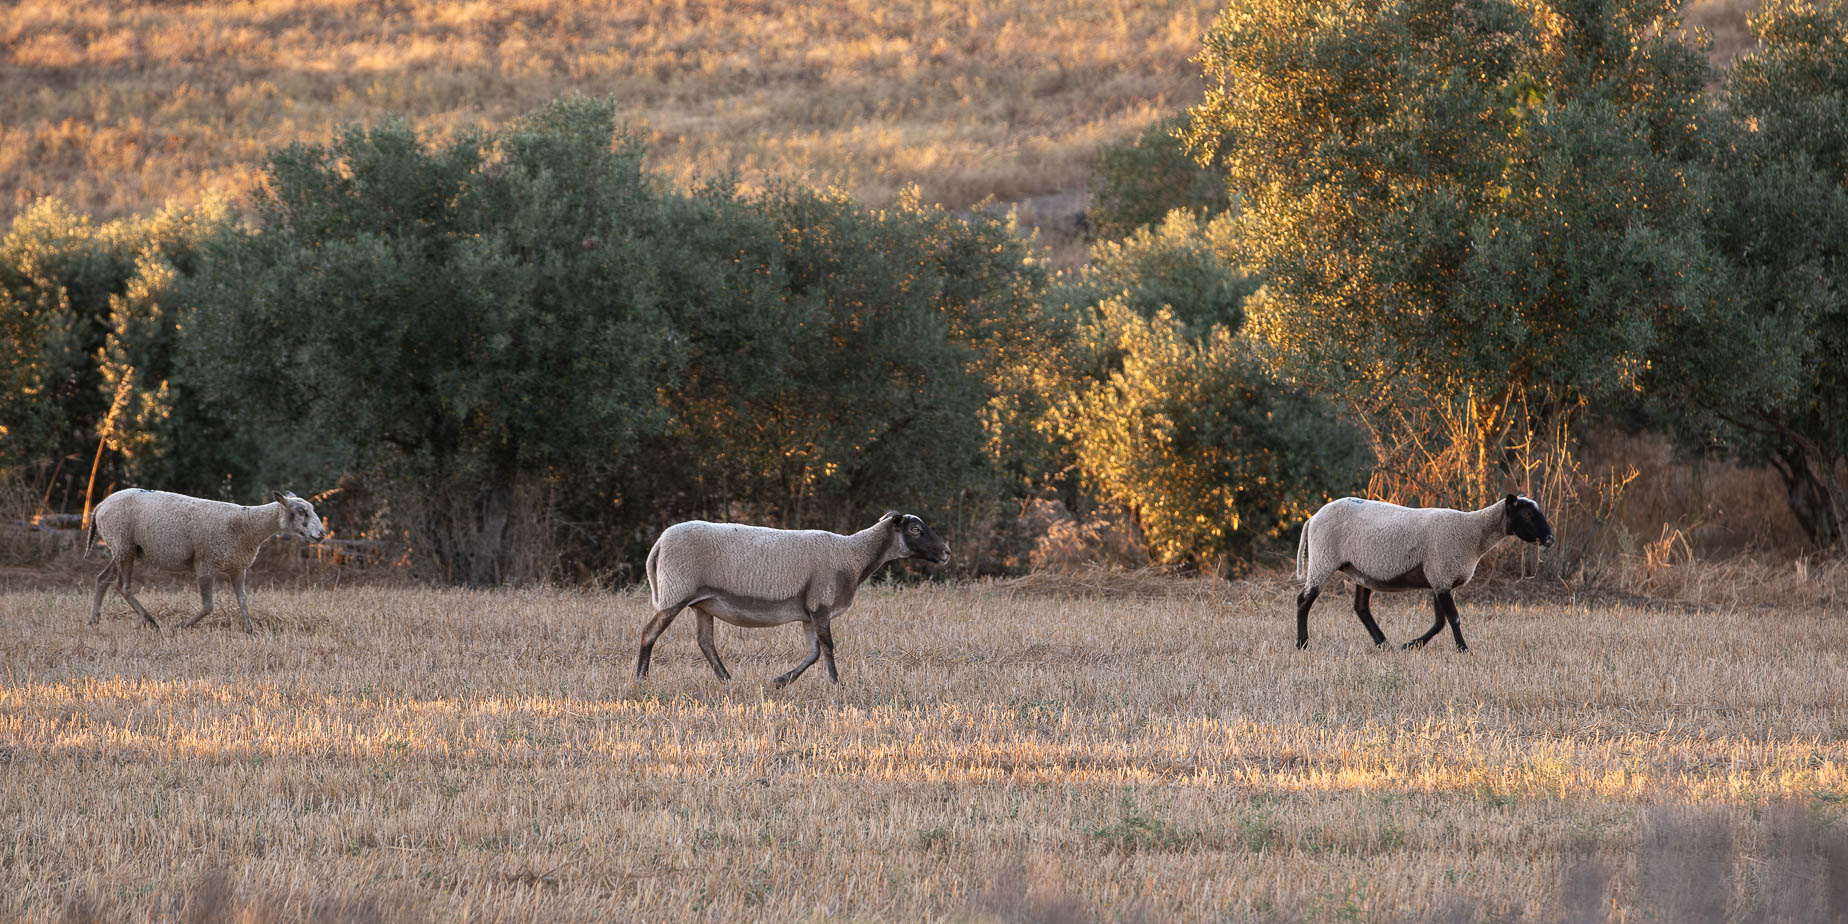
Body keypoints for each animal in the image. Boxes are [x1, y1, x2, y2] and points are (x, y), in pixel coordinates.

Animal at [85, 487, 325, 632]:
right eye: (302, 511)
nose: (321, 534)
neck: (247, 524)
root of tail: (101, 505)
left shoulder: (238, 567)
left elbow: (243, 599)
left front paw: (250, 630)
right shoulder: (205, 563)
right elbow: (209, 606)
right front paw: (182, 626)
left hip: (124, 548)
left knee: (102, 578)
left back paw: (94, 620)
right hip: (122, 543)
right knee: (123, 586)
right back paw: (150, 621)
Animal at [639, 513, 953, 687]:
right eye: (915, 530)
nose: (947, 552)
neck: (852, 555)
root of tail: (659, 543)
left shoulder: (809, 611)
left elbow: (813, 652)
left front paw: (781, 681)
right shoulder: (821, 604)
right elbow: (828, 648)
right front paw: (835, 684)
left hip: (702, 602)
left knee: (705, 642)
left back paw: (727, 680)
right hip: (676, 592)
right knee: (649, 633)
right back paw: (641, 679)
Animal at [1293, 495, 1552, 654]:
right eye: (1527, 515)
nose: (1550, 539)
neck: (1472, 533)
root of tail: (1312, 518)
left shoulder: (1439, 578)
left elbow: (1440, 622)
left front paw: (1411, 645)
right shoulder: (1441, 575)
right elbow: (1453, 618)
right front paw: (1463, 649)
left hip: (1361, 570)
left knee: (1361, 608)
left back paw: (1383, 644)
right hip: (1323, 560)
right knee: (1303, 600)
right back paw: (1302, 643)